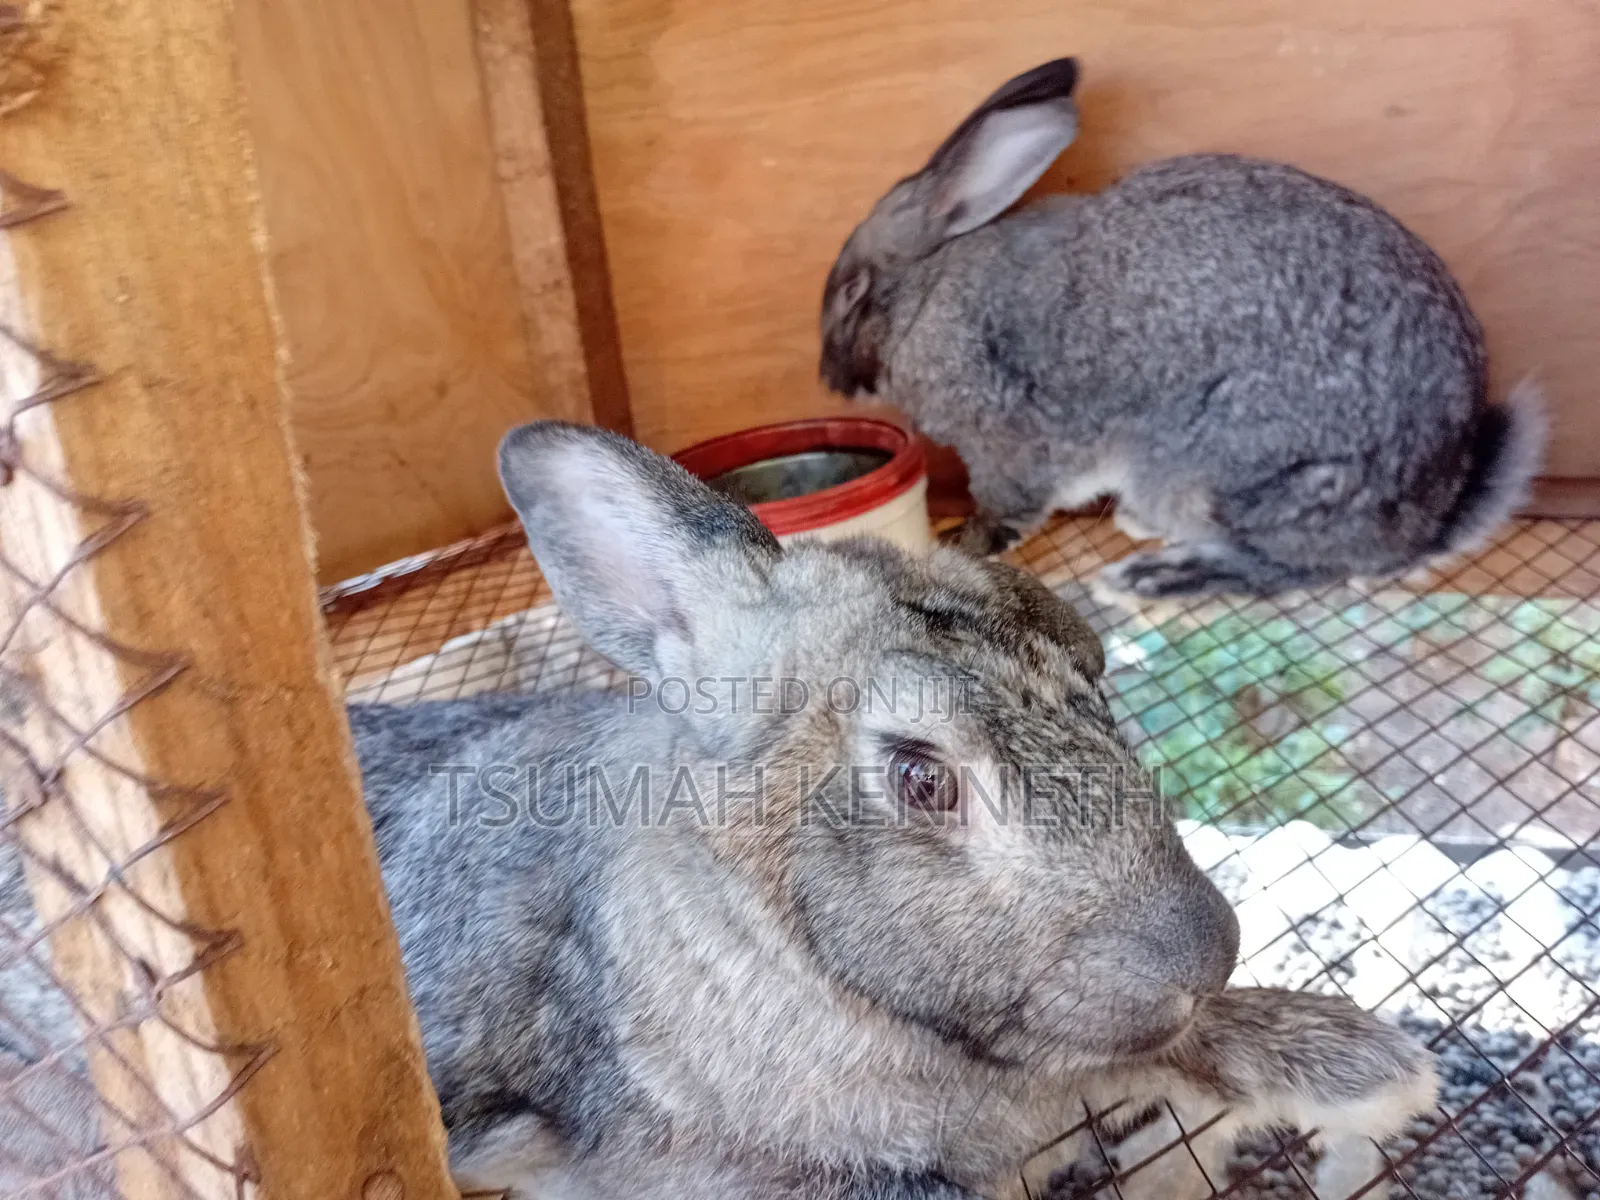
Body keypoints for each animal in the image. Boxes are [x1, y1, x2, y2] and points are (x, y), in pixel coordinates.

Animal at [819, 58, 1545, 600]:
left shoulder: (1006, 443)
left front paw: (963, 542)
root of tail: (1429, 520)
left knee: (1300, 570)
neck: (929, 290)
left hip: (1211, 467)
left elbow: (1007, 506)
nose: (829, 381)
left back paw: (1154, 576)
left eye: (851, 291)